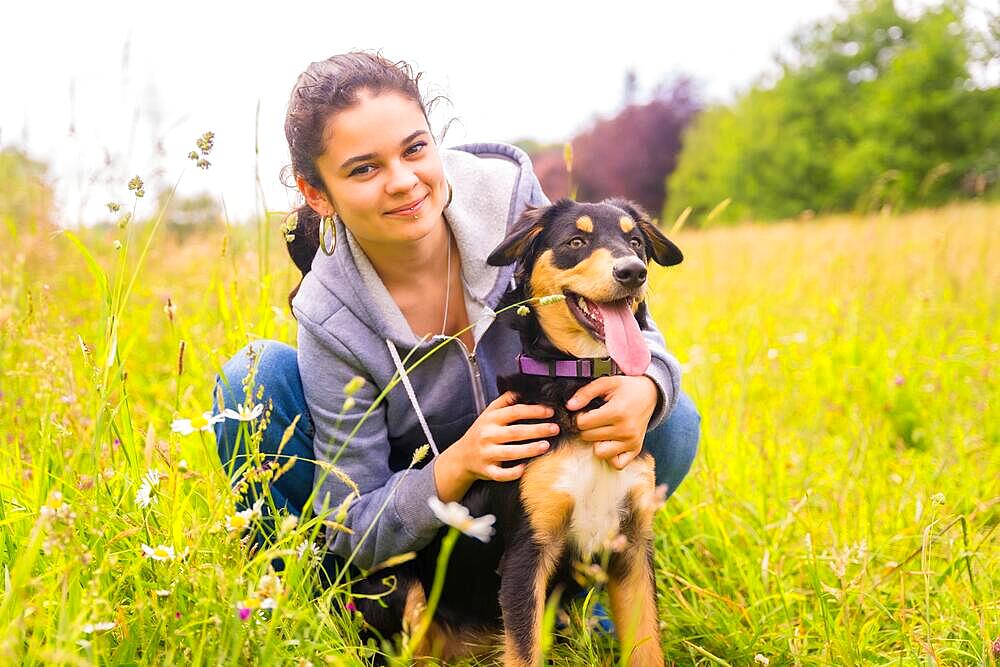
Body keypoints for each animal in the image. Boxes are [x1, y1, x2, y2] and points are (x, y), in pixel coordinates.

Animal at [348, 196, 684, 664]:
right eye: (575, 242)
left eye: (635, 241)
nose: (633, 271)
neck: (576, 384)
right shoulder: (528, 554)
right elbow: (524, 651)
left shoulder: (632, 548)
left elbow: (647, 645)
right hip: (395, 587)